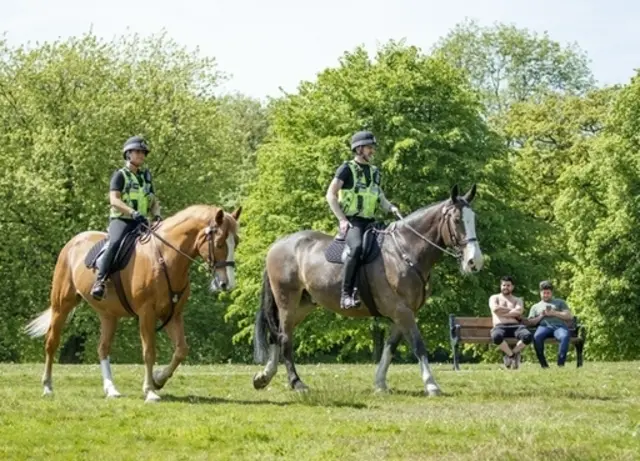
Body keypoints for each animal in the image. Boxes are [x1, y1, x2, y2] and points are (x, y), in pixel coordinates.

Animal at [24, 203, 240, 400]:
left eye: (236, 242)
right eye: (219, 242)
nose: (227, 283)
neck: (164, 258)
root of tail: (73, 242)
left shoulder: (173, 315)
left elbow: (181, 350)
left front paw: (158, 379)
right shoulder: (147, 313)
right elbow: (149, 351)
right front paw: (150, 390)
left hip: (108, 315)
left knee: (103, 348)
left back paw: (111, 389)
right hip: (62, 305)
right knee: (52, 342)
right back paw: (48, 387)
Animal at [252, 183, 482, 396]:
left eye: (474, 219)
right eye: (457, 220)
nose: (474, 262)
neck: (404, 252)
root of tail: (277, 245)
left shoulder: (402, 314)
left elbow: (389, 348)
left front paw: (380, 383)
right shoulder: (402, 311)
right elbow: (418, 345)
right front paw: (431, 385)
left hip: (304, 304)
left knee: (277, 334)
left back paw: (264, 377)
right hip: (287, 301)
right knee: (284, 337)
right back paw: (296, 382)